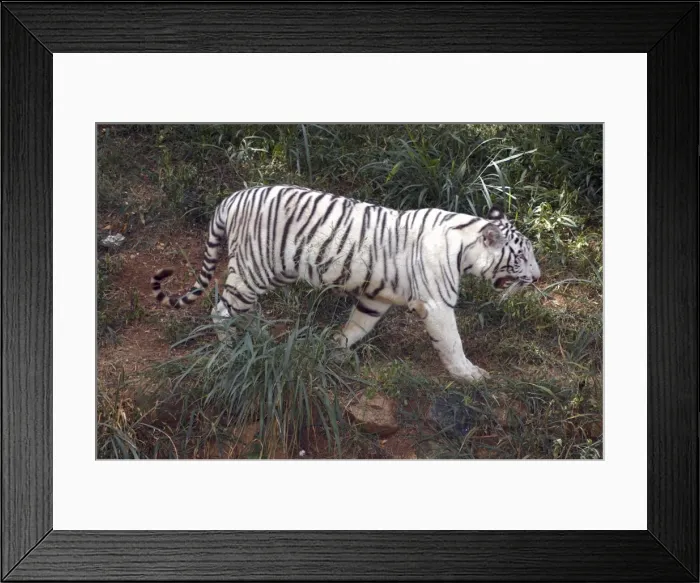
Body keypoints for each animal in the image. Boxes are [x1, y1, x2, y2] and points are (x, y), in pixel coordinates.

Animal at [151, 185, 540, 382]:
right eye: (522, 257)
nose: (538, 277)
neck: (464, 246)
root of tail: (232, 198)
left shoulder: (376, 297)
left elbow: (357, 325)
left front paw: (335, 349)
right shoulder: (437, 304)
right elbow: (453, 342)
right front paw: (469, 374)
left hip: (263, 273)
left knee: (242, 310)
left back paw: (259, 336)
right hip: (253, 270)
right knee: (221, 310)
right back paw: (232, 348)